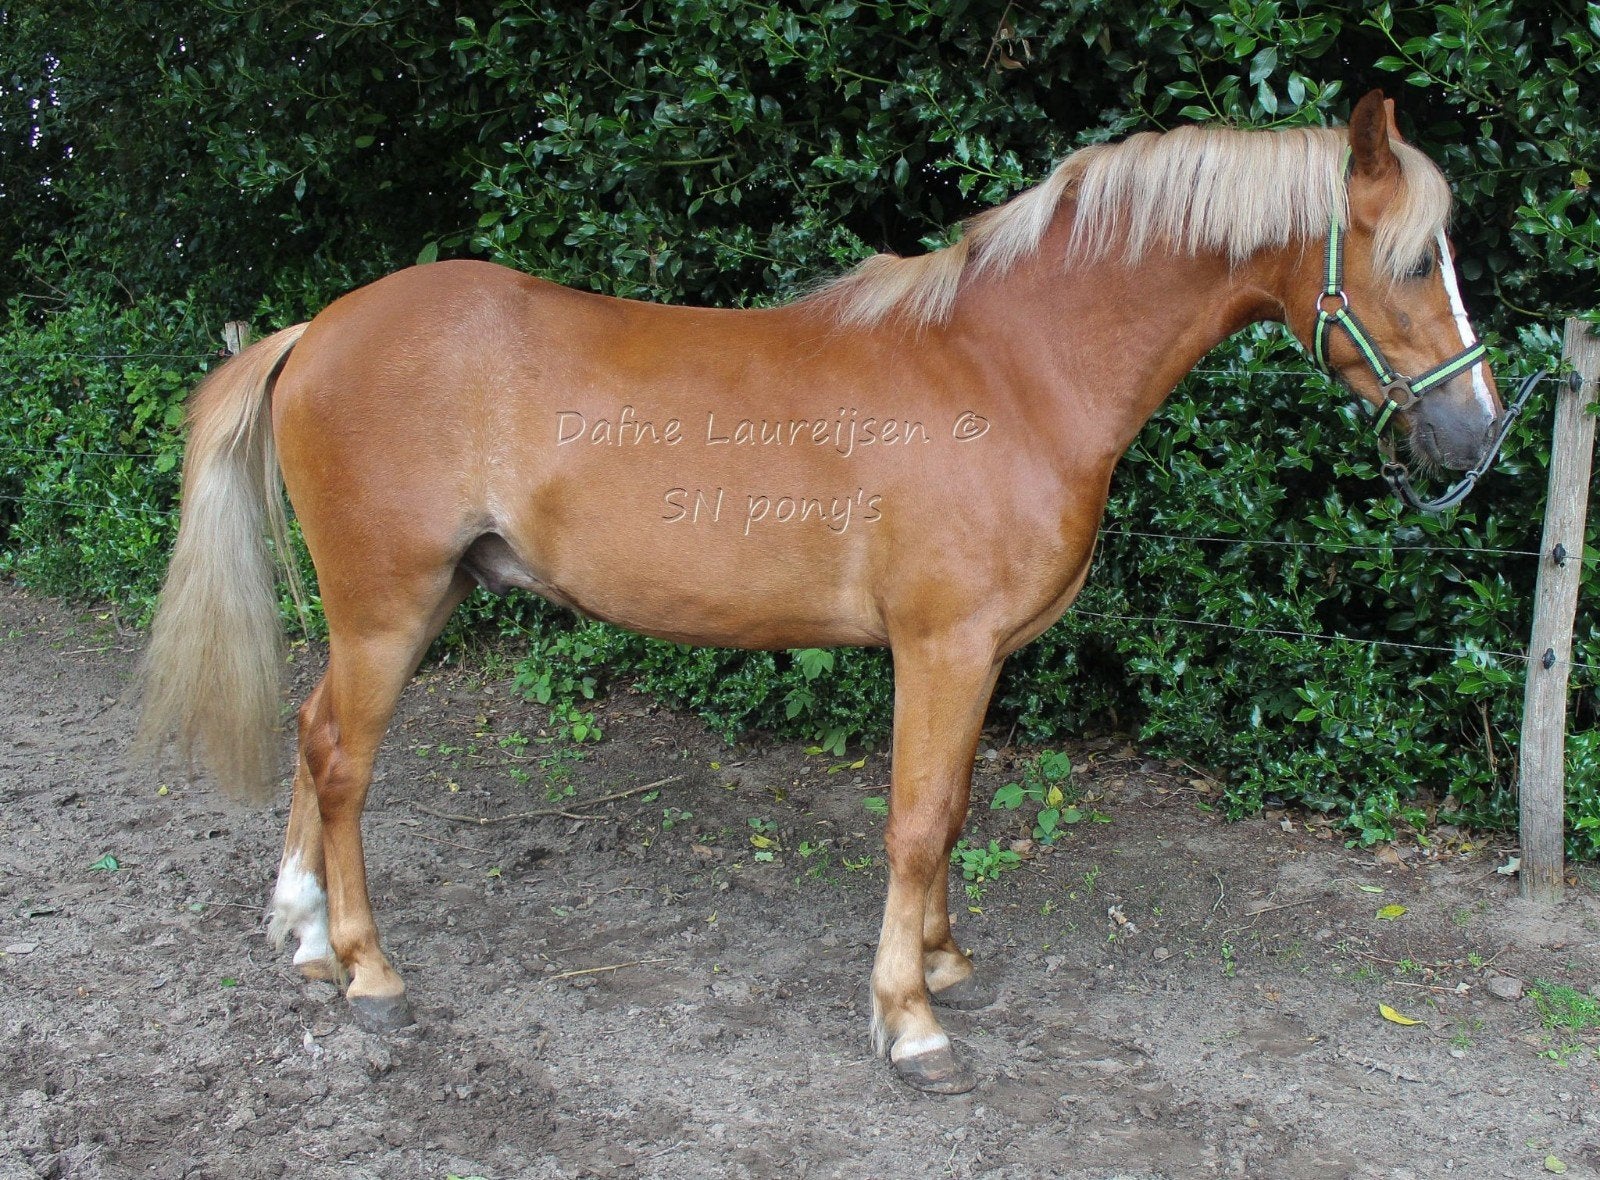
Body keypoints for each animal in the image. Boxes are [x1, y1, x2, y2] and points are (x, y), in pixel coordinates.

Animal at [138, 90, 1501, 1093]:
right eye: (1410, 259)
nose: (1476, 435)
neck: (1010, 369)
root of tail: (317, 330)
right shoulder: (941, 648)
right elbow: (914, 820)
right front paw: (910, 1023)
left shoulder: (980, 657)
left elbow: (955, 810)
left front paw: (942, 963)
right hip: (390, 605)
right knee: (342, 758)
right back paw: (367, 970)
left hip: (406, 607)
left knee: (313, 735)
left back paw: (303, 933)